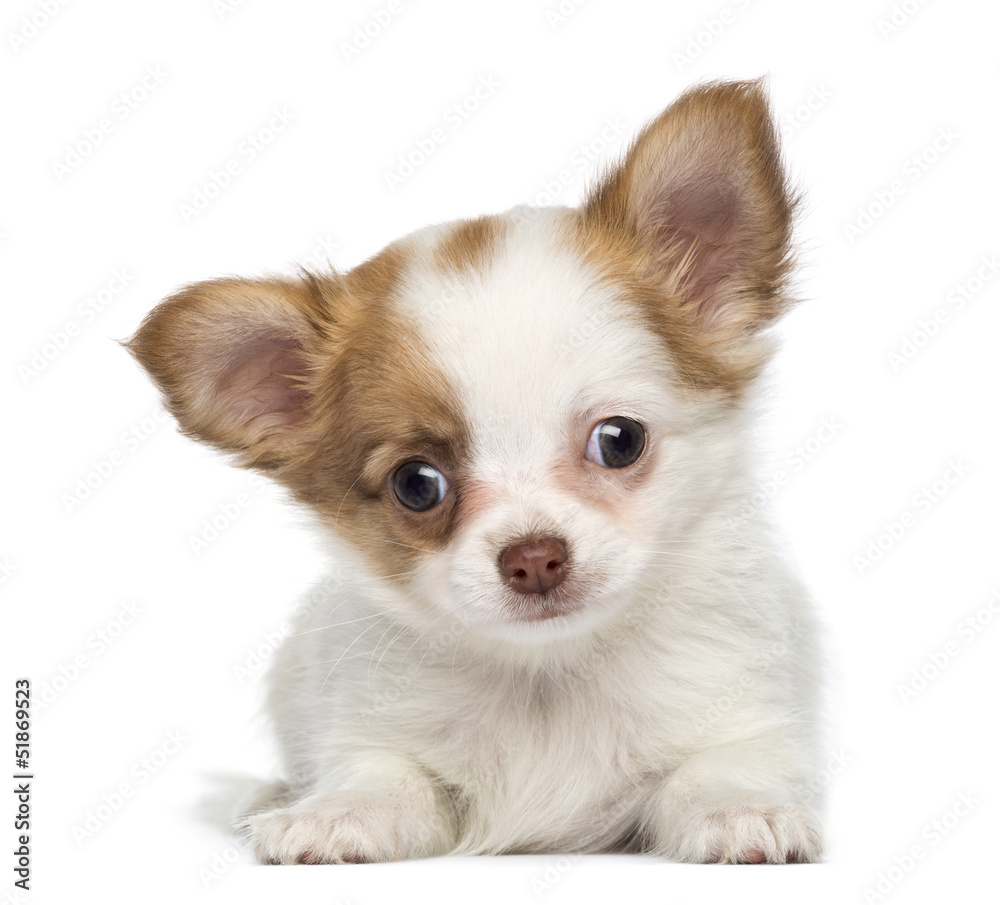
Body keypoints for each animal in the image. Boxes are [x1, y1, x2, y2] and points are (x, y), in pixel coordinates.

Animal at [129, 77, 824, 860]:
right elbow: (385, 777)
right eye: (417, 483)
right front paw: (335, 812)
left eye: (619, 441)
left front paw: (738, 809)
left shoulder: (746, 719)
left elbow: (717, 767)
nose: (535, 557)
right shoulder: (372, 732)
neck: (548, 673)